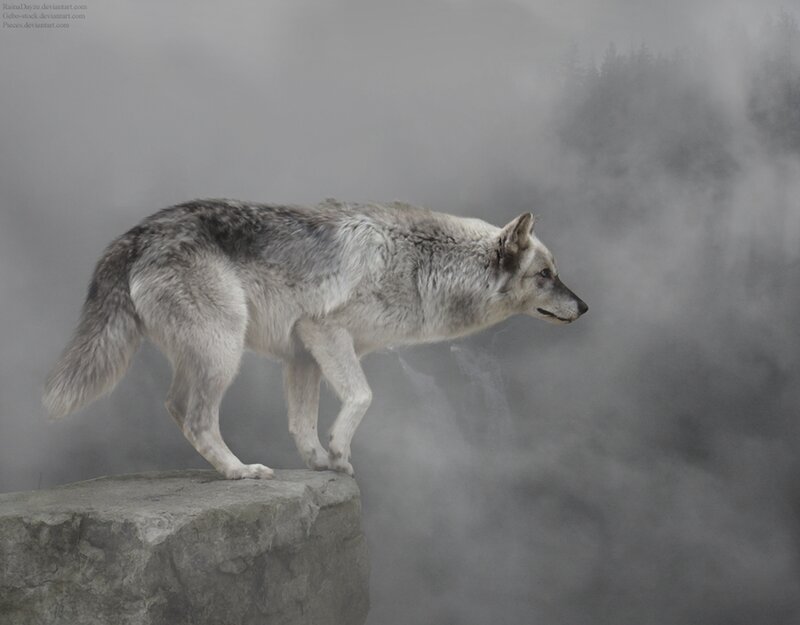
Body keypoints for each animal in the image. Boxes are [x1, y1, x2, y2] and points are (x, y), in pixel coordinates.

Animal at [43, 199, 587, 478]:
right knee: (197, 418)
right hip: (224, 351)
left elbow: (301, 422)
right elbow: (363, 396)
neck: (424, 264)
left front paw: (319, 461)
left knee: (176, 407)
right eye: (546, 275)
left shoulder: (302, 354)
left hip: (206, 353)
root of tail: (135, 234)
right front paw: (340, 453)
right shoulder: (324, 332)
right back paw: (239, 472)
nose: (584, 307)